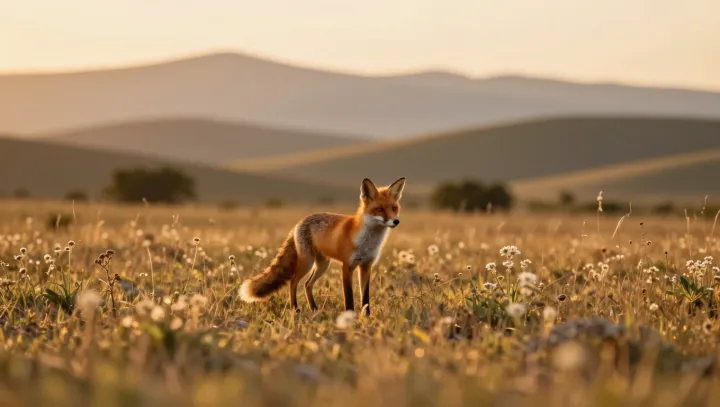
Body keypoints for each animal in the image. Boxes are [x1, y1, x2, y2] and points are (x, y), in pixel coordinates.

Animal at [239, 177, 406, 315]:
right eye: (379, 209)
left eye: (394, 208)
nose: (396, 221)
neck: (368, 241)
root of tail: (299, 223)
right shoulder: (347, 266)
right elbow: (349, 297)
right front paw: (350, 317)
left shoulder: (366, 266)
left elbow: (365, 298)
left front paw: (367, 318)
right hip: (307, 263)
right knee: (293, 282)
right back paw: (295, 309)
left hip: (322, 265)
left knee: (307, 284)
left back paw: (314, 308)